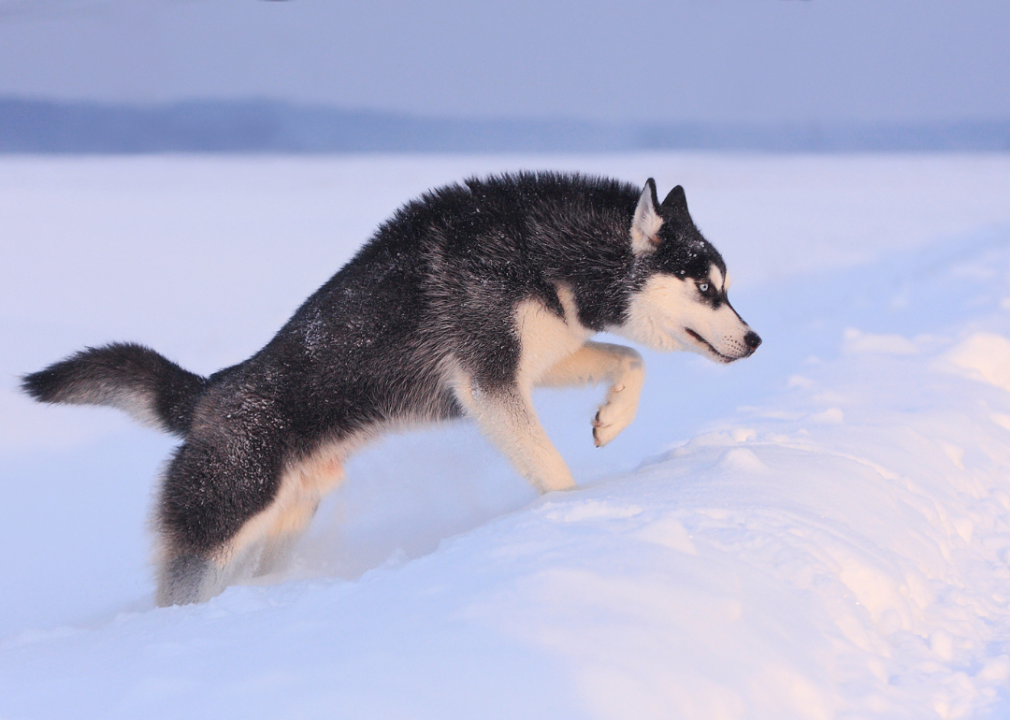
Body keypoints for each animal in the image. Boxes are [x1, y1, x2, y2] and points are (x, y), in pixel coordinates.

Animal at [21, 171, 759, 601]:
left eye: (725, 287)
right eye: (705, 288)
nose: (755, 340)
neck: (542, 251)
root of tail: (209, 393)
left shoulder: (535, 360)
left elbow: (629, 360)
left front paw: (612, 419)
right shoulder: (488, 379)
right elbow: (552, 468)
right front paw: (583, 513)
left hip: (281, 527)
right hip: (220, 523)